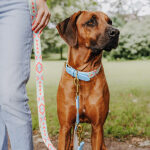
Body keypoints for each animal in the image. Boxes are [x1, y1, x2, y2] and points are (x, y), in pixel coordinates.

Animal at [56, 9, 119, 149]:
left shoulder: (97, 127)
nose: (116, 32)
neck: (83, 74)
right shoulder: (65, 127)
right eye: (91, 21)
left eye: (110, 22)